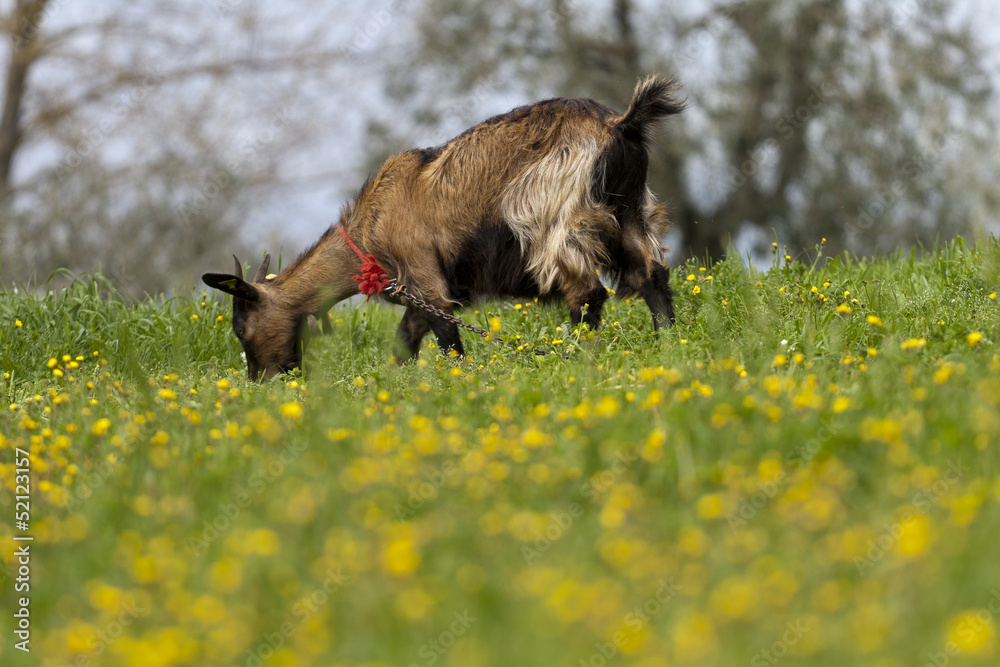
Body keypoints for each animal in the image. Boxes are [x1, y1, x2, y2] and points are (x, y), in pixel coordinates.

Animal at [203, 75, 688, 380]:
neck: (368, 226)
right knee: (651, 275)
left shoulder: (426, 277)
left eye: (241, 330)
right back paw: (671, 345)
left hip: (554, 219)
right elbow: (404, 341)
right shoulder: (419, 292)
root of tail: (618, 124)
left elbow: (448, 341)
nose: (260, 381)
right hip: (630, 211)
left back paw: (576, 358)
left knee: (587, 293)